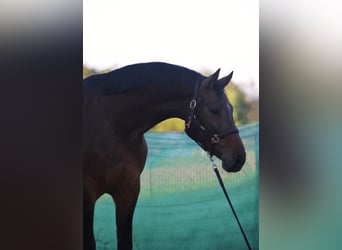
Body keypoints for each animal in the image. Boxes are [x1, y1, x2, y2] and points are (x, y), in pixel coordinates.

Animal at [83, 62, 246, 250]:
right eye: (214, 109)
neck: (112, 125)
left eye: (231, 108)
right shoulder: (87, 196)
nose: (239, 157)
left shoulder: (128, 192)